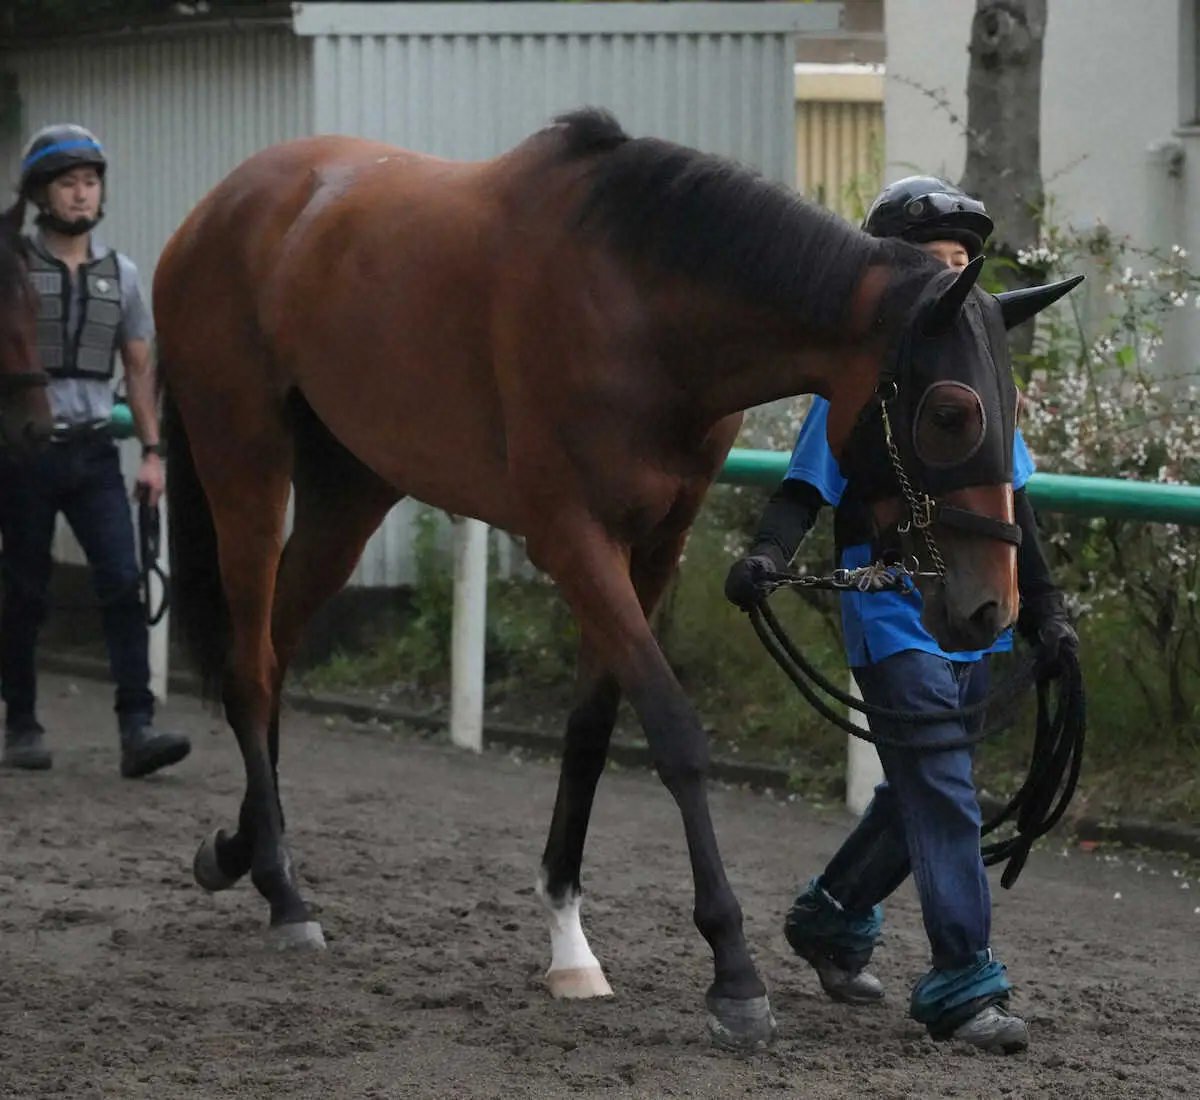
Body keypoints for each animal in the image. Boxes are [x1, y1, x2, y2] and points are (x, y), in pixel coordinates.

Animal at [154, 109, 1084, 1046]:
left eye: (1013, 414)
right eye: (951, 413)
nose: (991, 608)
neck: (639, 302)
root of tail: (215, 210)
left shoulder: (654, 545)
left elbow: (592, 733)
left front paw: (569, 942)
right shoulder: (572, 539)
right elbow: (672, 731)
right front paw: (734, 973)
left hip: (353, 485)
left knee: (274, 652)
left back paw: (240, 852)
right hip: (246, 460)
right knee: (250, 667)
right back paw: (283, 892)